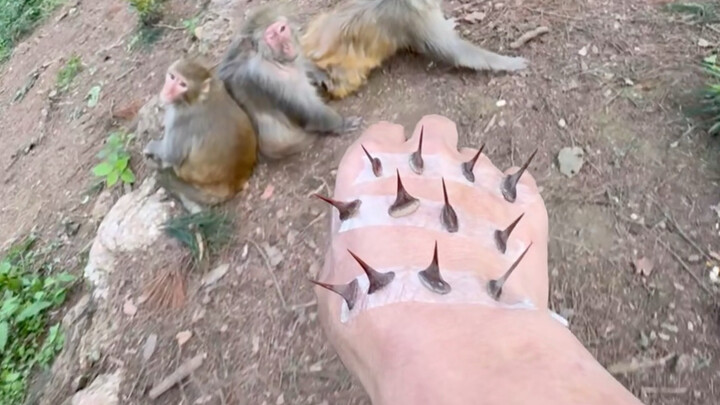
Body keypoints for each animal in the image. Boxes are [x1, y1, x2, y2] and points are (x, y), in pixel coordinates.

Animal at [143, 58, 258, 210]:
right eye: (172, 77)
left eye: (182, 84)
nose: (168, 90)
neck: (199, 97)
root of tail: (232, 184)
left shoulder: (178, 119)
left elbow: (171, 154)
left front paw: (150, 147)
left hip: (185, 174)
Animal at [217, 3, 362, 160]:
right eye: (272, 36)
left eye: (282, 29)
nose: (287, 45)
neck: (269, 57)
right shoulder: (271, 76)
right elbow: (307, 107)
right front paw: (341, 124)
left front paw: (318, 74)